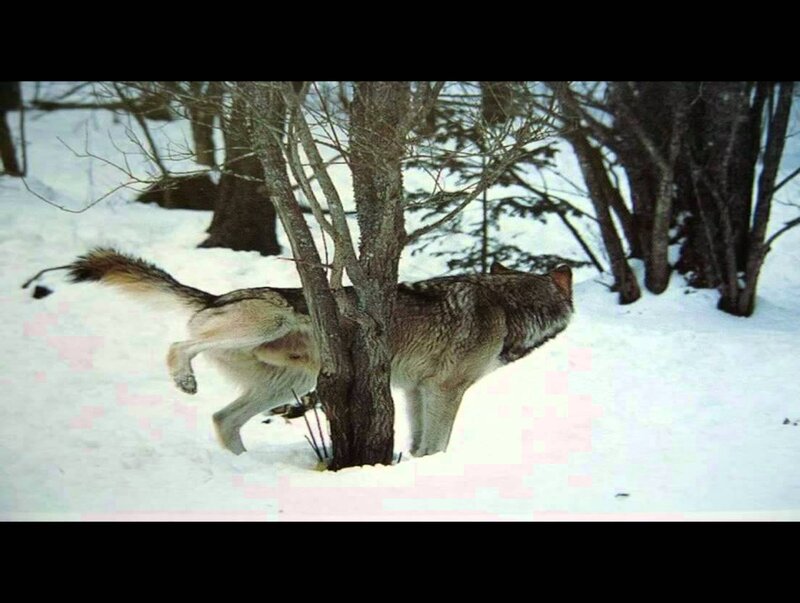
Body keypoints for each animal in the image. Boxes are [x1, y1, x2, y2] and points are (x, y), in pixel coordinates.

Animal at [65, 249, 574, 457]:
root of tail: (214, 297)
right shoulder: (446, 390)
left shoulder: (416, 391)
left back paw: (241, 465)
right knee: (177, 346)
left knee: (222, 419)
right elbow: (439, 441)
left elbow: (419, 442)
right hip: (266, 329)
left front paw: (416, 465)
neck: (507, 306)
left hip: (288, 384)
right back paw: (184, 379)